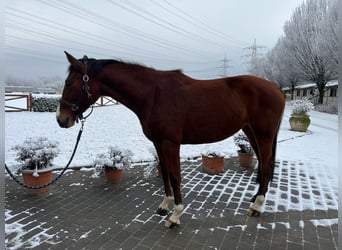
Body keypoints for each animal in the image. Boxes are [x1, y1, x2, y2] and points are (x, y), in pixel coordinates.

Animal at [56, 51, 286, 229]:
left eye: (69, 83)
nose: (61, 119)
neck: (153, 95)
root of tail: (277, 89)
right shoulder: (158, 142)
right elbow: (165, 172)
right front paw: (164, 205)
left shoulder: (170, 143)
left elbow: (175, 176)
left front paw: (175, 216)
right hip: (251, 132)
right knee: (263, 163)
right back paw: (255, 198)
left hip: (263, 135)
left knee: (266, 166)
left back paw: (256, 206)